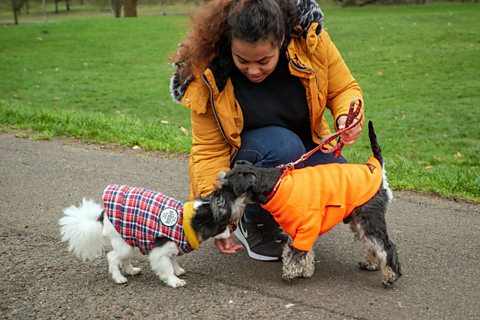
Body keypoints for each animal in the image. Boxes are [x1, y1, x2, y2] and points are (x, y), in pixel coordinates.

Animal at [60, 184, 246, 288]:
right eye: (222, 225)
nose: (231, 229)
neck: (186, 224)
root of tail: (103, 214)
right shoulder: (160, 252)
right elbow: (167, 267)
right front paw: (174, 280)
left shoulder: (173, 247)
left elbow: (174, 260)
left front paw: (178, 271)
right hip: (123, 244)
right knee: (112, 257)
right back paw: (119, 278)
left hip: (128, 238)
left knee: (124, 258)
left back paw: (130, 270)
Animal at [218, 121, 402, 286]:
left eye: (228, 188)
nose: (216, 204)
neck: (276, 185)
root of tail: (376, 169)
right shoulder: (297, 230)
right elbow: (301, 252)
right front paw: (305, 270)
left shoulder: (306, 228)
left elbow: (295, 253)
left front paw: (290, 272)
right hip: (358, 220)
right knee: (371, 244)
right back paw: (371, 264)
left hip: (369, 219)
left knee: (386, 246)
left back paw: (390, 276)